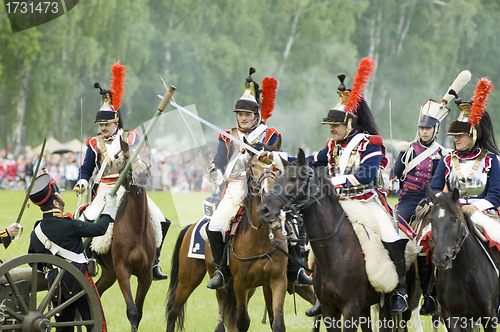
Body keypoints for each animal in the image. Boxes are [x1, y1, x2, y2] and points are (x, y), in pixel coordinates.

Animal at [92, 138, 156, 332]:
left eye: (147, 155)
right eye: (127, 156)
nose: (141, 175)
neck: (136, 228)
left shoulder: (146, 275)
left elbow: (139, 312)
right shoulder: (122, 271)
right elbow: (132, 311)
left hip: (109, 273)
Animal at [167, 139, 316, 332]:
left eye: (277, 167)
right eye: (252, 166)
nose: (269, 193)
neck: (260, 238)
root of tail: (191, 226)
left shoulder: (277, 281)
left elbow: (278, 321)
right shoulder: (240, 284)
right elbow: (243, 322)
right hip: (190, 279)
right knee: (175, 310)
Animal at [424, 185, 498, 330]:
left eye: (455, 219)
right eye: (431, 220)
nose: (441, 259)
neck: (465, 273)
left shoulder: (490, 317)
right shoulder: (452, 316)